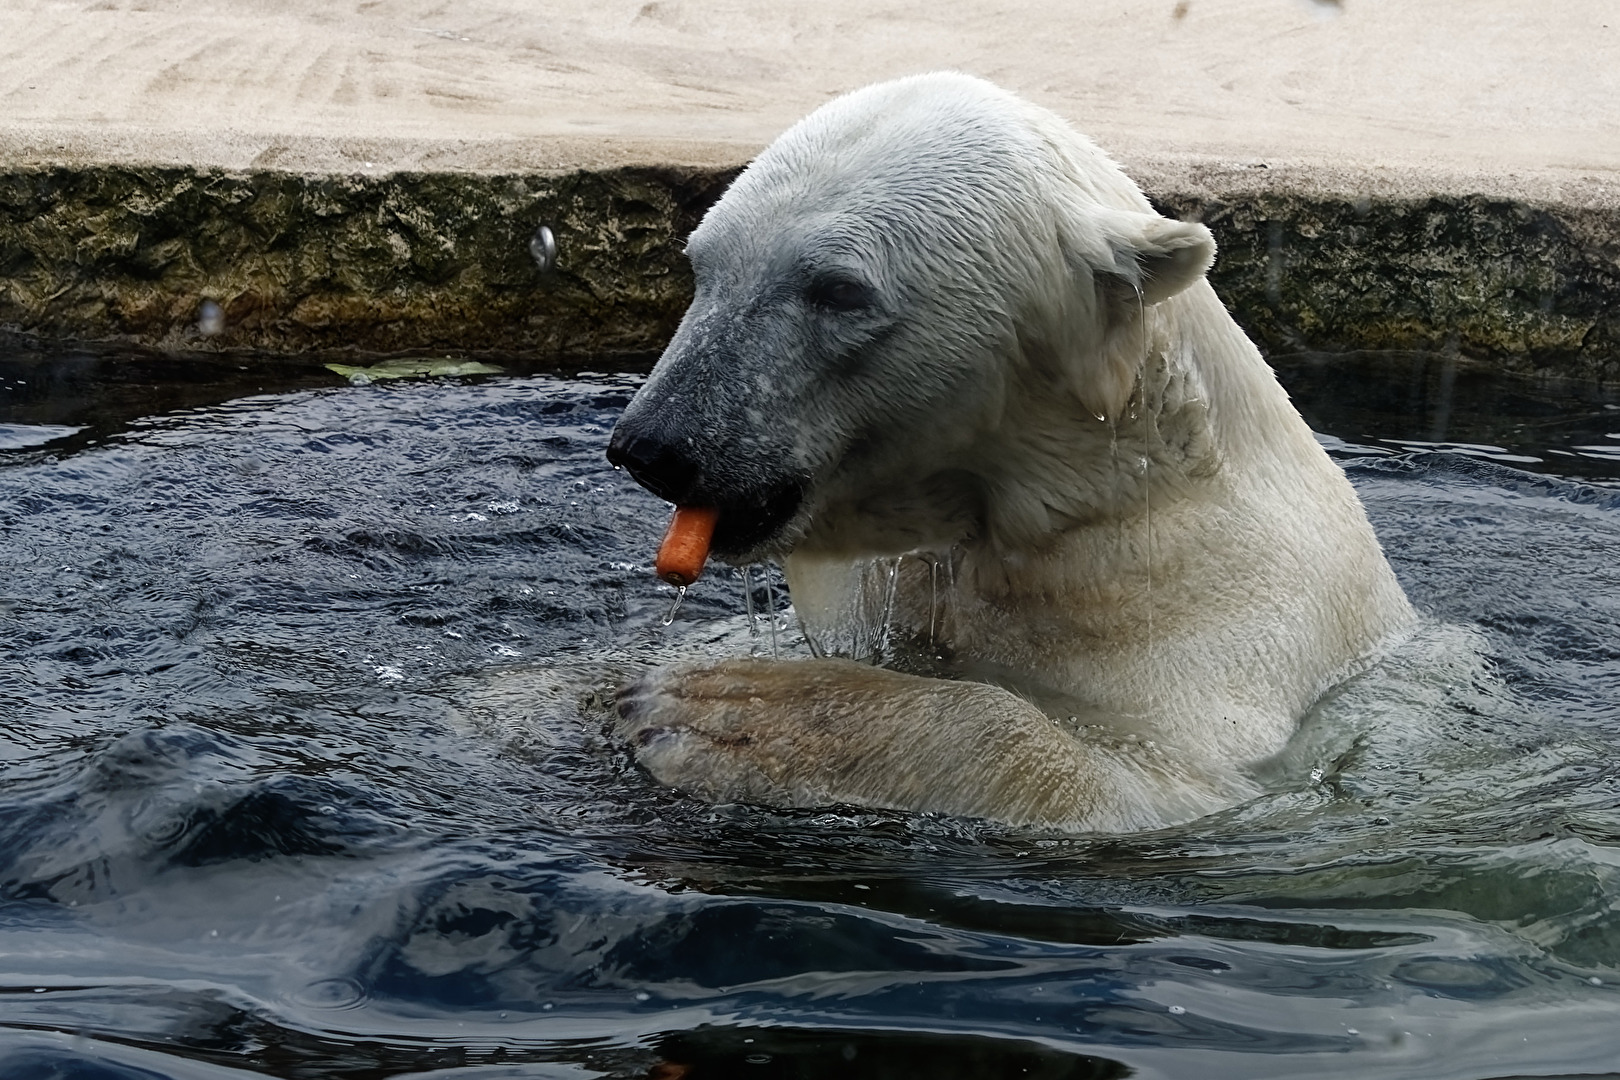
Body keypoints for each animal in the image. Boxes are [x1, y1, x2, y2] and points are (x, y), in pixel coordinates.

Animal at [602, 74, 1412, 835]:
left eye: (837, 291)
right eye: (703, 264)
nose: (654, 446)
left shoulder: (1226, 628)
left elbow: (1154, 784)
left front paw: (728, 707)